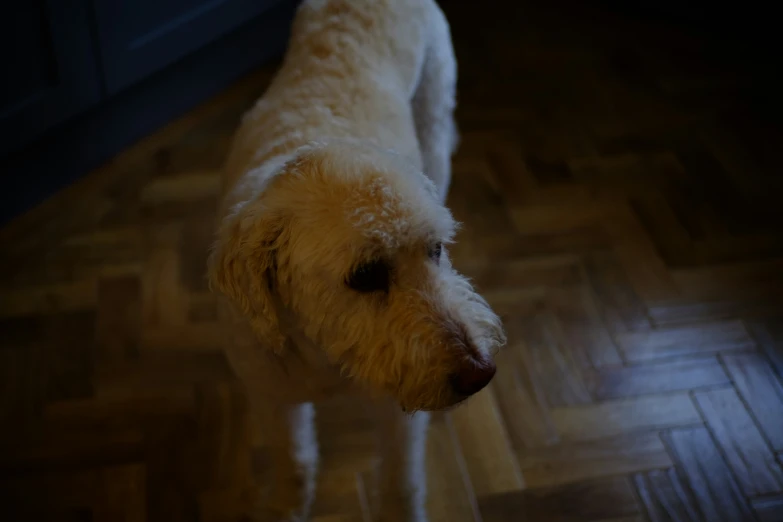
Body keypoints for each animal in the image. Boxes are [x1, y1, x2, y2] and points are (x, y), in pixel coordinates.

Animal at [205, 2, 506, 516]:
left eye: (436, 249)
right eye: (366, 275)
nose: (480, 373)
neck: (321, 355)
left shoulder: (397, 420)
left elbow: (401, 484)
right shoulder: (271, 400)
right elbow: (293, 465)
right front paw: (287, 507)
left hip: (434, 120)